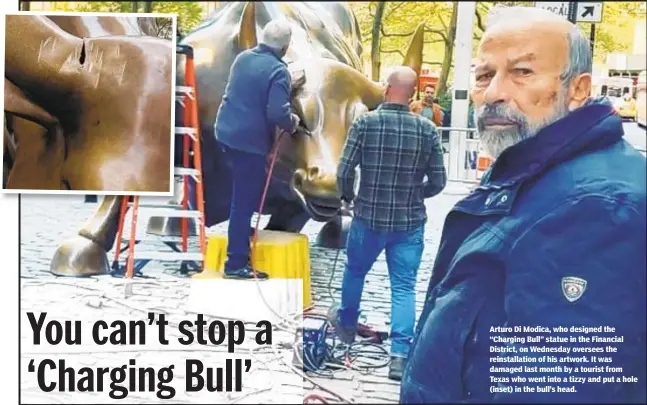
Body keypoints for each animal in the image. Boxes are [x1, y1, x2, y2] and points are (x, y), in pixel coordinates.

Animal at [48, 2, 428, 274]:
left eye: (356, 126)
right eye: (299, 118)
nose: (327, 183)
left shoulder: (294, 197)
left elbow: (279, 230)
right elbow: (121, 193)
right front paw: (84, 247)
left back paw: (338, 230)